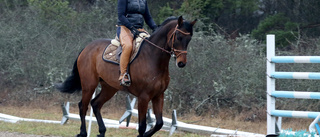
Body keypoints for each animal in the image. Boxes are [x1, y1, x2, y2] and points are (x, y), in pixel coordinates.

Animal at [56, 16, 196, 137]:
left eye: (189, 39)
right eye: (178, 37)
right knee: (83, 106)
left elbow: (159, 123)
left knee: (95, 104)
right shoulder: (144, 97)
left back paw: (102, 132)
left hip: (109, 88)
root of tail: (86, 48)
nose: (181, 63)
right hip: (89, 84)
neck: (153, 57)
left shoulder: (158, 95)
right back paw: (83, 133)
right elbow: (142, 126)